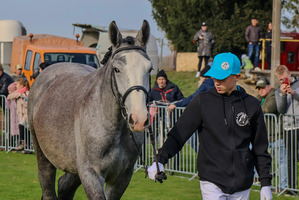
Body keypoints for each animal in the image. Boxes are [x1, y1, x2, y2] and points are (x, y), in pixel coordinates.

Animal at [27, 19, 152, 199]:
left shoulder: (122, 177)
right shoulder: (91, 174)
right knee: (49, 187)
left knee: (64, 186)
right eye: (116, 69)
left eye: (150, 69)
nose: (139, 118)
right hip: (43, 156)